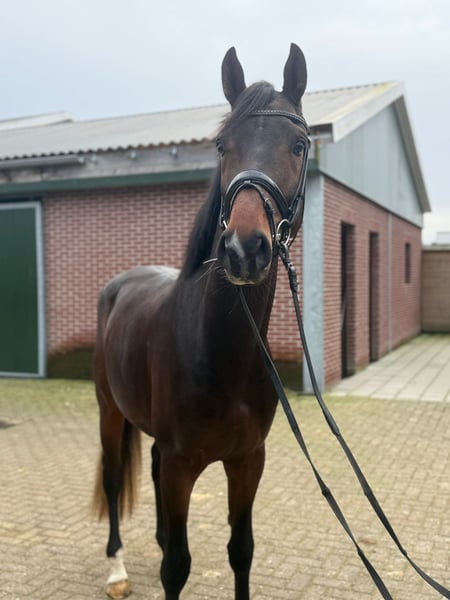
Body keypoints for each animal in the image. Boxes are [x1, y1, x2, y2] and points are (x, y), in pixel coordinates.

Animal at [92, 43, 310, 600]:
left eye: (299, 145)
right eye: (220, 146)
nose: (244, 249)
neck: (218, 351)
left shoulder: (248, 461)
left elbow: (241, 551)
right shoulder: (181, 465)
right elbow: (178, 567)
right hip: (110, 412)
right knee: (113, 479)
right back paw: (117, 569)